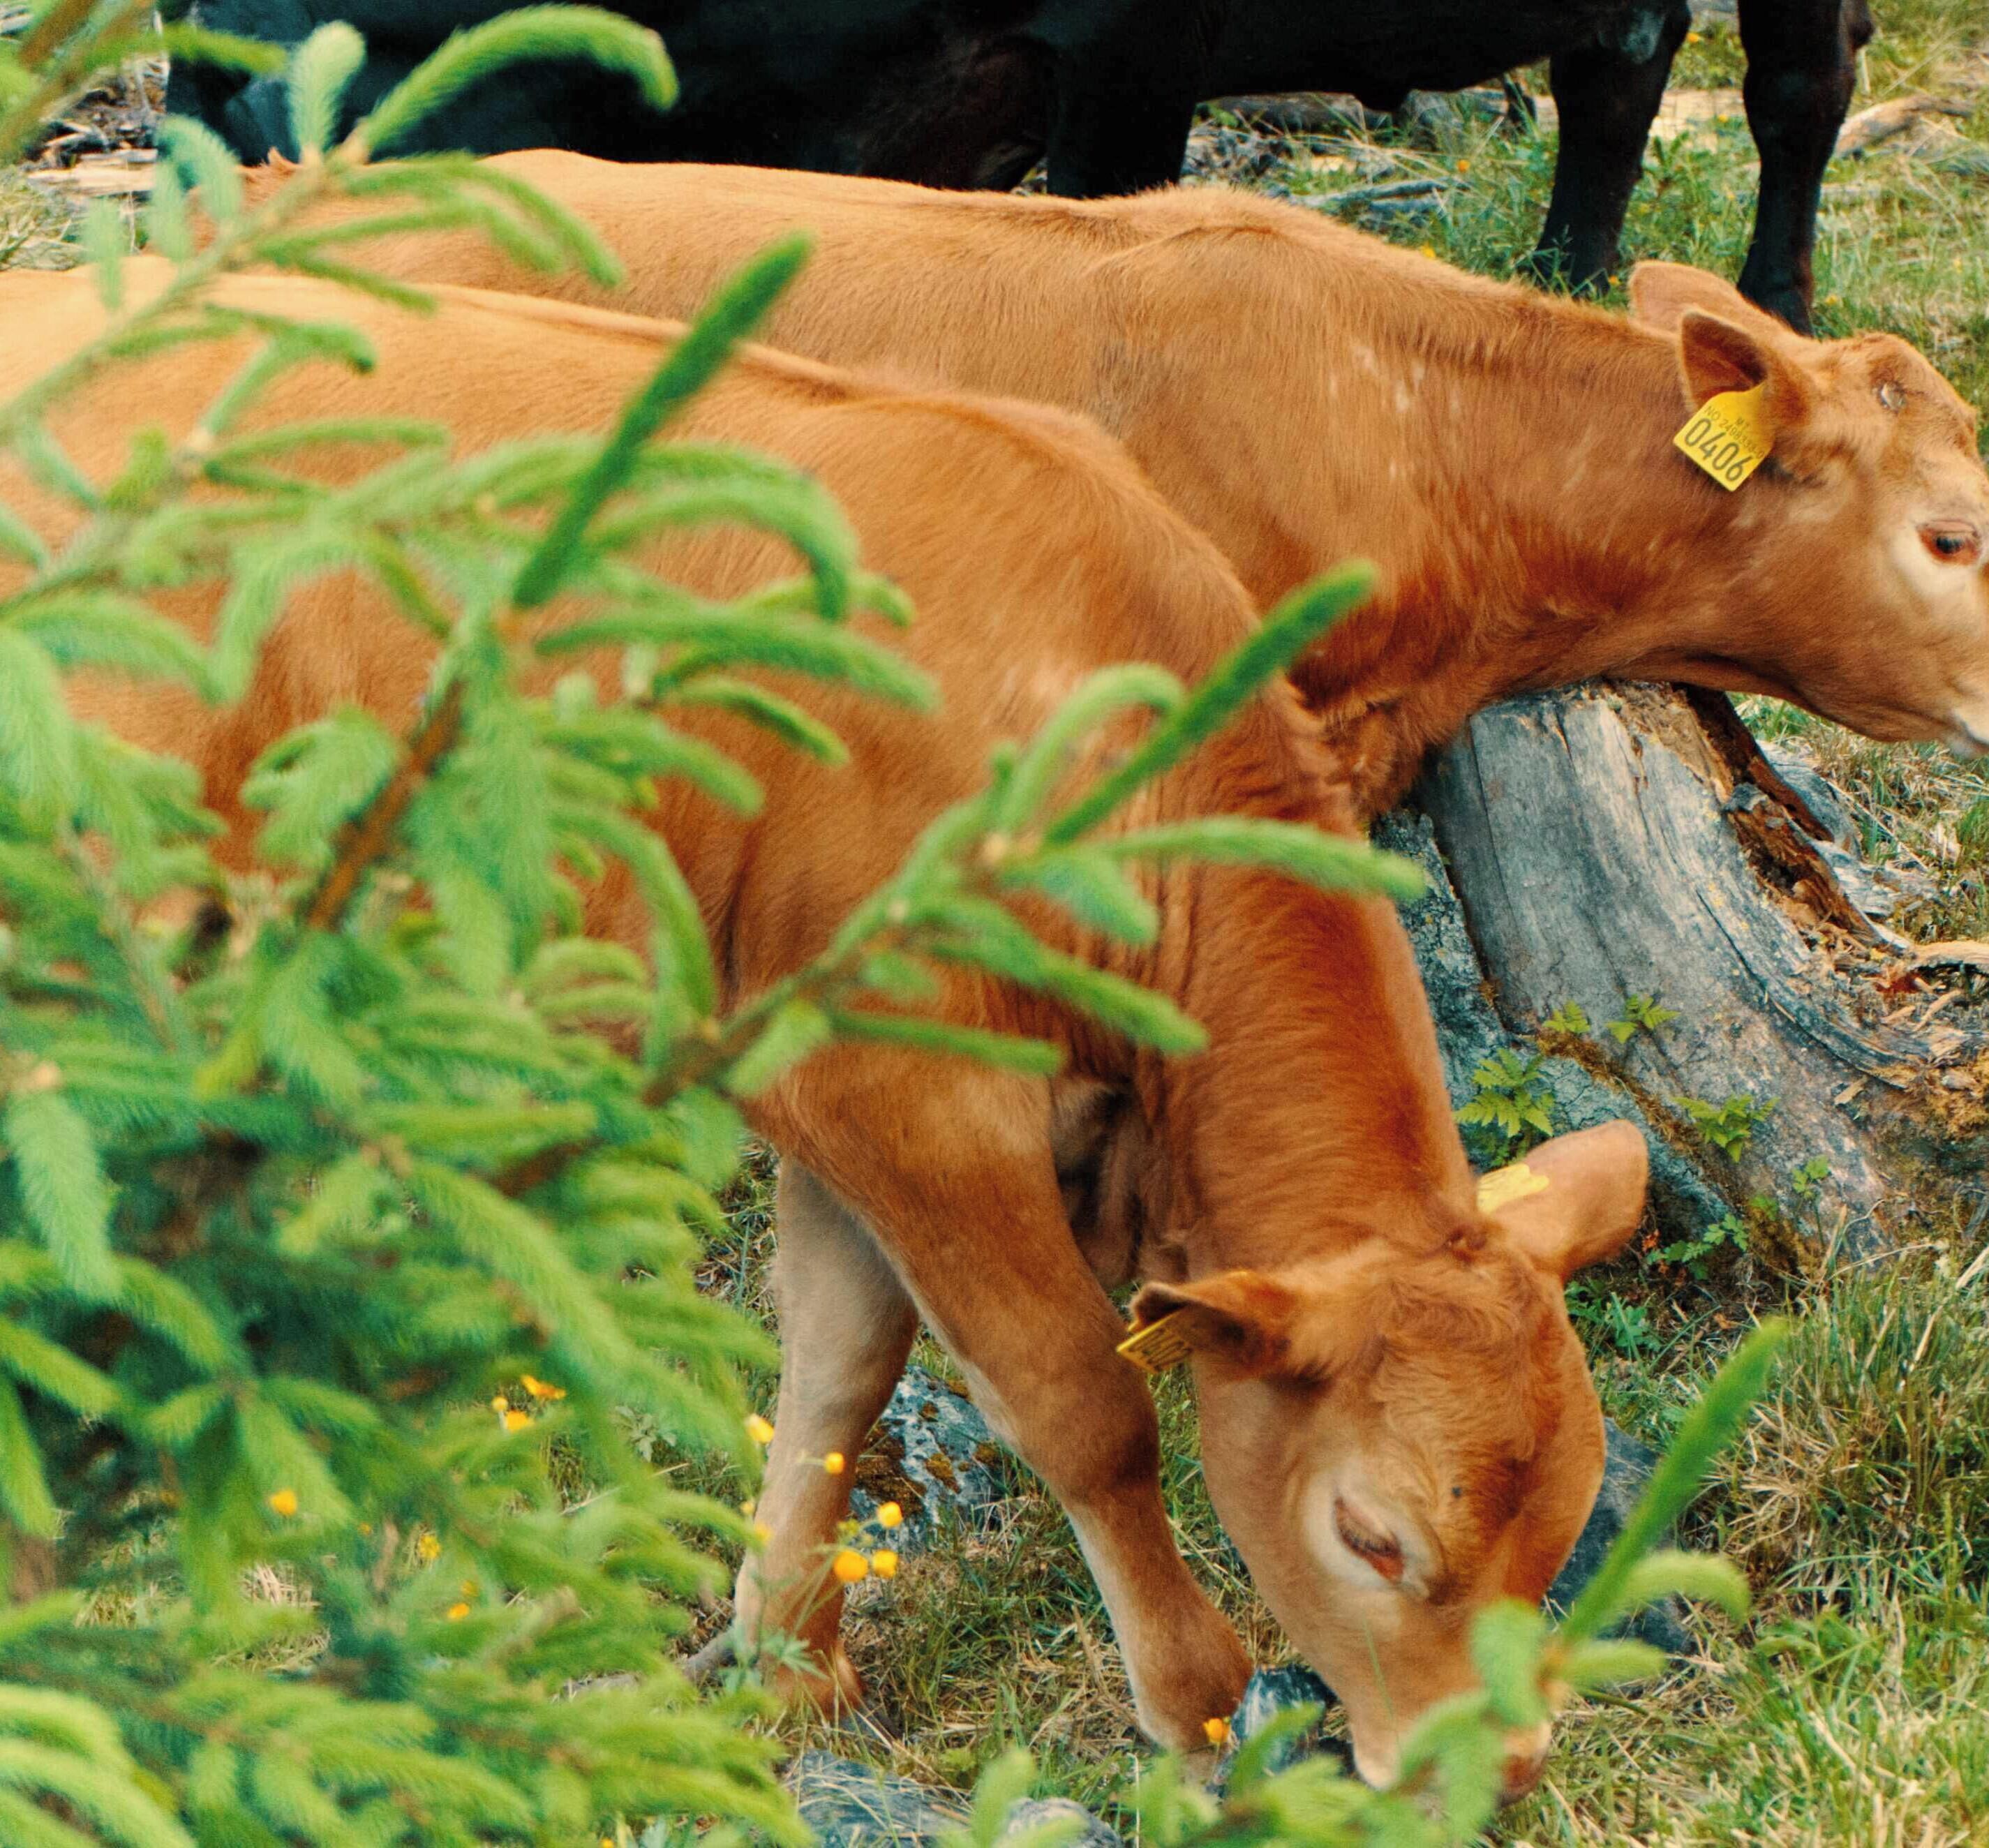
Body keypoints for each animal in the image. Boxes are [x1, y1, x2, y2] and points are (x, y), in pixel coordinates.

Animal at [0, 259, 1650, 1797]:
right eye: (1370, 1535)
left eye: (1566, 1525)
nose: (1492, 1770)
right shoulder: (907, 1091)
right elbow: (1081, 1403)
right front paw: (1194, 1710)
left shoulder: (846, 1117)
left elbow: (841, 1368)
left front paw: (787, 1664)